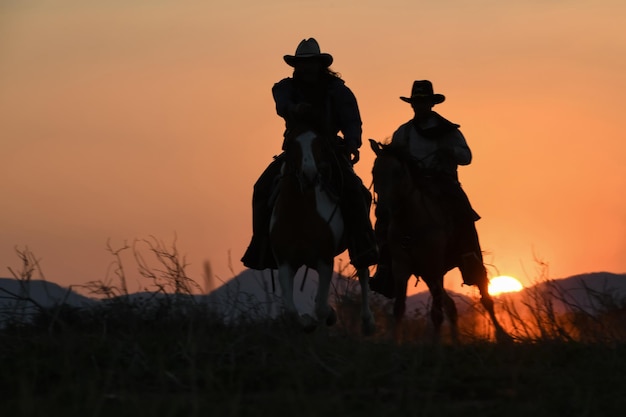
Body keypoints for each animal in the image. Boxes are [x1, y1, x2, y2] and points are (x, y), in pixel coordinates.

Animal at [270, 128, 376, 334]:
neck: (302, 213)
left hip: (358, 244)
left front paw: (328, 316)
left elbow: (320, 308)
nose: (309, 174)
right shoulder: (285, 262)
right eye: (292, 144)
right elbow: (291, 310)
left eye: (320, 145)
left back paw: (368, 323)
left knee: (363, 271)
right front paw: (307, 323)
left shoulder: (325, 261)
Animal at [368, 139, 510, 342]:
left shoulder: (434, 267)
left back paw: (503, 336)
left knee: (485, 299)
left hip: (466, 263)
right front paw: (396, 343)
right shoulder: (402, 267)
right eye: (375, 172)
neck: (411, 224)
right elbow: (399, 309)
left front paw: (436, 347)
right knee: (451, 306)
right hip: (428, 274)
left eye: (398, 173)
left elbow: (436, 314)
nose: (382, 213)